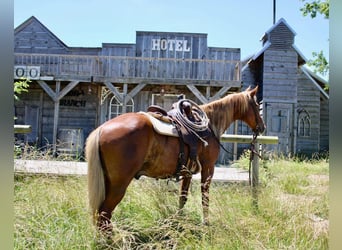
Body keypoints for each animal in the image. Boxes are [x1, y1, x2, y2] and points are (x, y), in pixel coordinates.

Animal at [85, 85, 264, 231]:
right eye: (257, 106)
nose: (262, 127)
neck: (210, 126)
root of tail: (101, 129)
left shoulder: (187, 172)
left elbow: (182, 198)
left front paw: (178, 221)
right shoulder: (208, 168)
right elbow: (205, 197)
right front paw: (206, 222)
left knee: (101, 215)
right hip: (119, 184)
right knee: (104, 214)